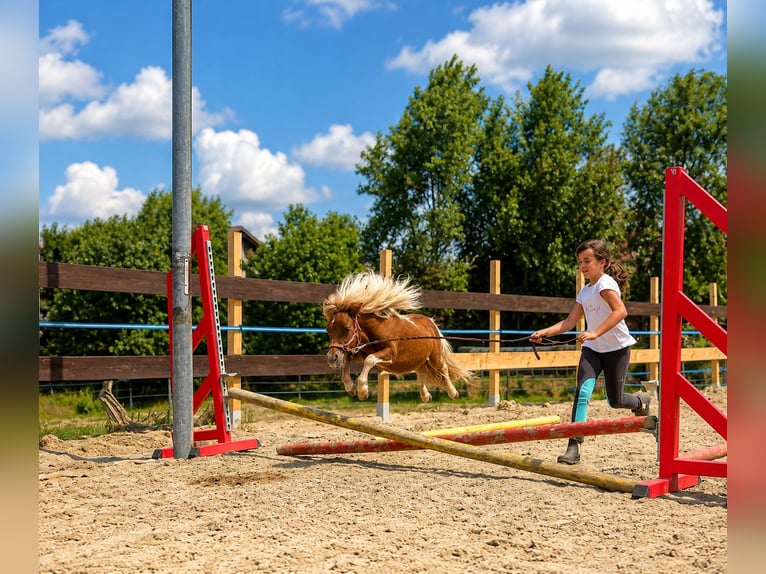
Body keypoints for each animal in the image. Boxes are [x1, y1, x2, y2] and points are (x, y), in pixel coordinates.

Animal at [322, 271, 473, 402]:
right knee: (421, 371)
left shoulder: (390, 354)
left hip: (434, 357)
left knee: (443, 368)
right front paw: (352, 388)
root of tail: (431, 323)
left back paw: (453, 392)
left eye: (347, 329)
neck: (378, 330)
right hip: (419, 359)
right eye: (328, 329)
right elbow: (347, 362)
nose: (332, 358)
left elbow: (369, 360)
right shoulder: (359, 353)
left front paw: (362, 390)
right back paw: (425, 395)